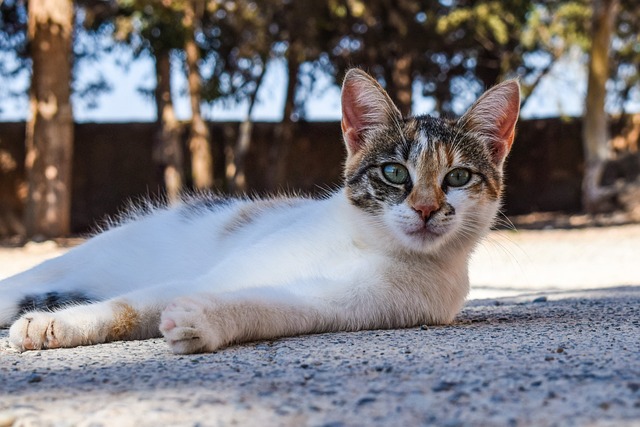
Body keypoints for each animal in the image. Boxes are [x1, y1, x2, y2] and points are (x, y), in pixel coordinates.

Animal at [0, 68, 520, 354]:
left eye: (458, 178)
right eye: (394, 173)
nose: (427, 208)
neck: (365, 243)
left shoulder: (350, 305)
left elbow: (274, 307)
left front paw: (201, 322)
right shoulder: (220, 271)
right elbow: (132, 305)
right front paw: (52, 325)